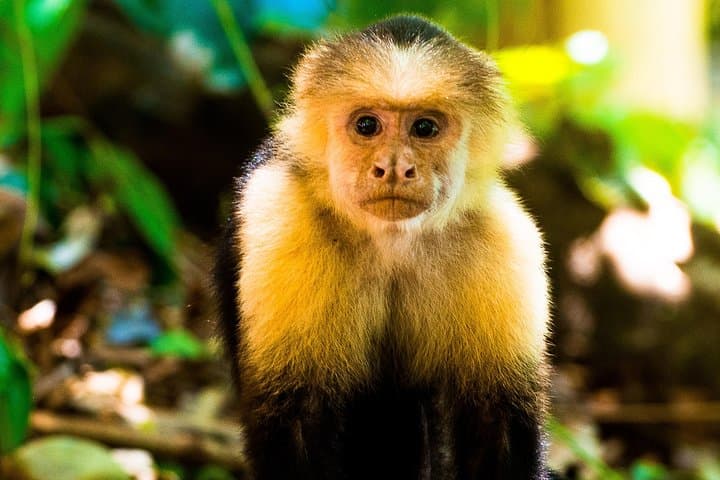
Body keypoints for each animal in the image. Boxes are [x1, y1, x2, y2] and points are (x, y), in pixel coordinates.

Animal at [214, 14, 552, 480]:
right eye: (367, 125)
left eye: (424, 128)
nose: (394, 167)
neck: (392, 240)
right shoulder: (281, 215)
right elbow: (297, 414)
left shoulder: (505, 240)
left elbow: (497, 421)